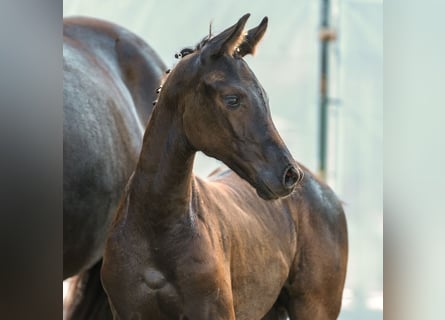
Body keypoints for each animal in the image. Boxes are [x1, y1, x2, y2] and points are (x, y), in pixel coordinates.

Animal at [101, 14, 346, 320]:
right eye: (233, 99)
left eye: (265, 97)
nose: (289, 175)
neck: (157, 225)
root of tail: (323, 190)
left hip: (314, 307)